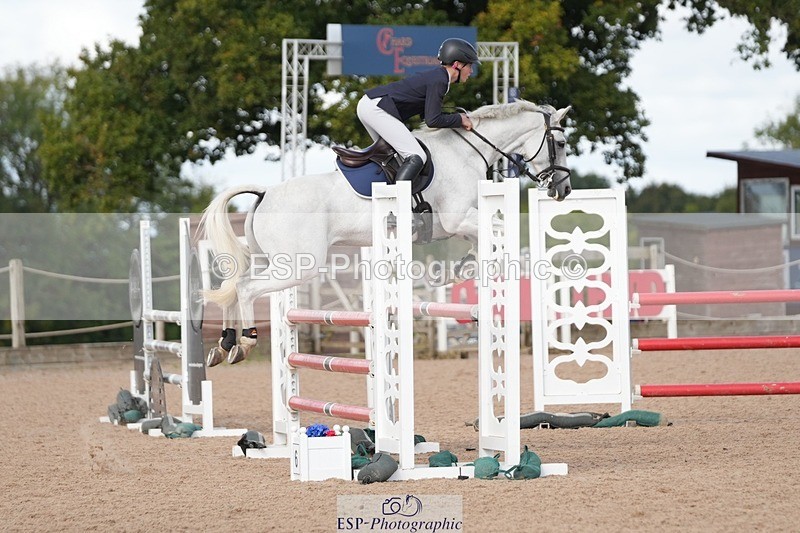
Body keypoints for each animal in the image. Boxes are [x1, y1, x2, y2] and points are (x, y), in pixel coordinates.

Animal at [200, 99, 572, 365]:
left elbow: (478, 240)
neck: (466, 153)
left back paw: (224, 344)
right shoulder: (457, 218)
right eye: (562, 142)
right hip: (297, 266)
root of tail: (265, 193)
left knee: (231, 287)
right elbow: (492, 231)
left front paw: (460, 270)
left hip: (273, 259)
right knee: (246, 289)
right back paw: (245, 342)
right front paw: (466, 276)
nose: (564, 189)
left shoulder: (449, 225)